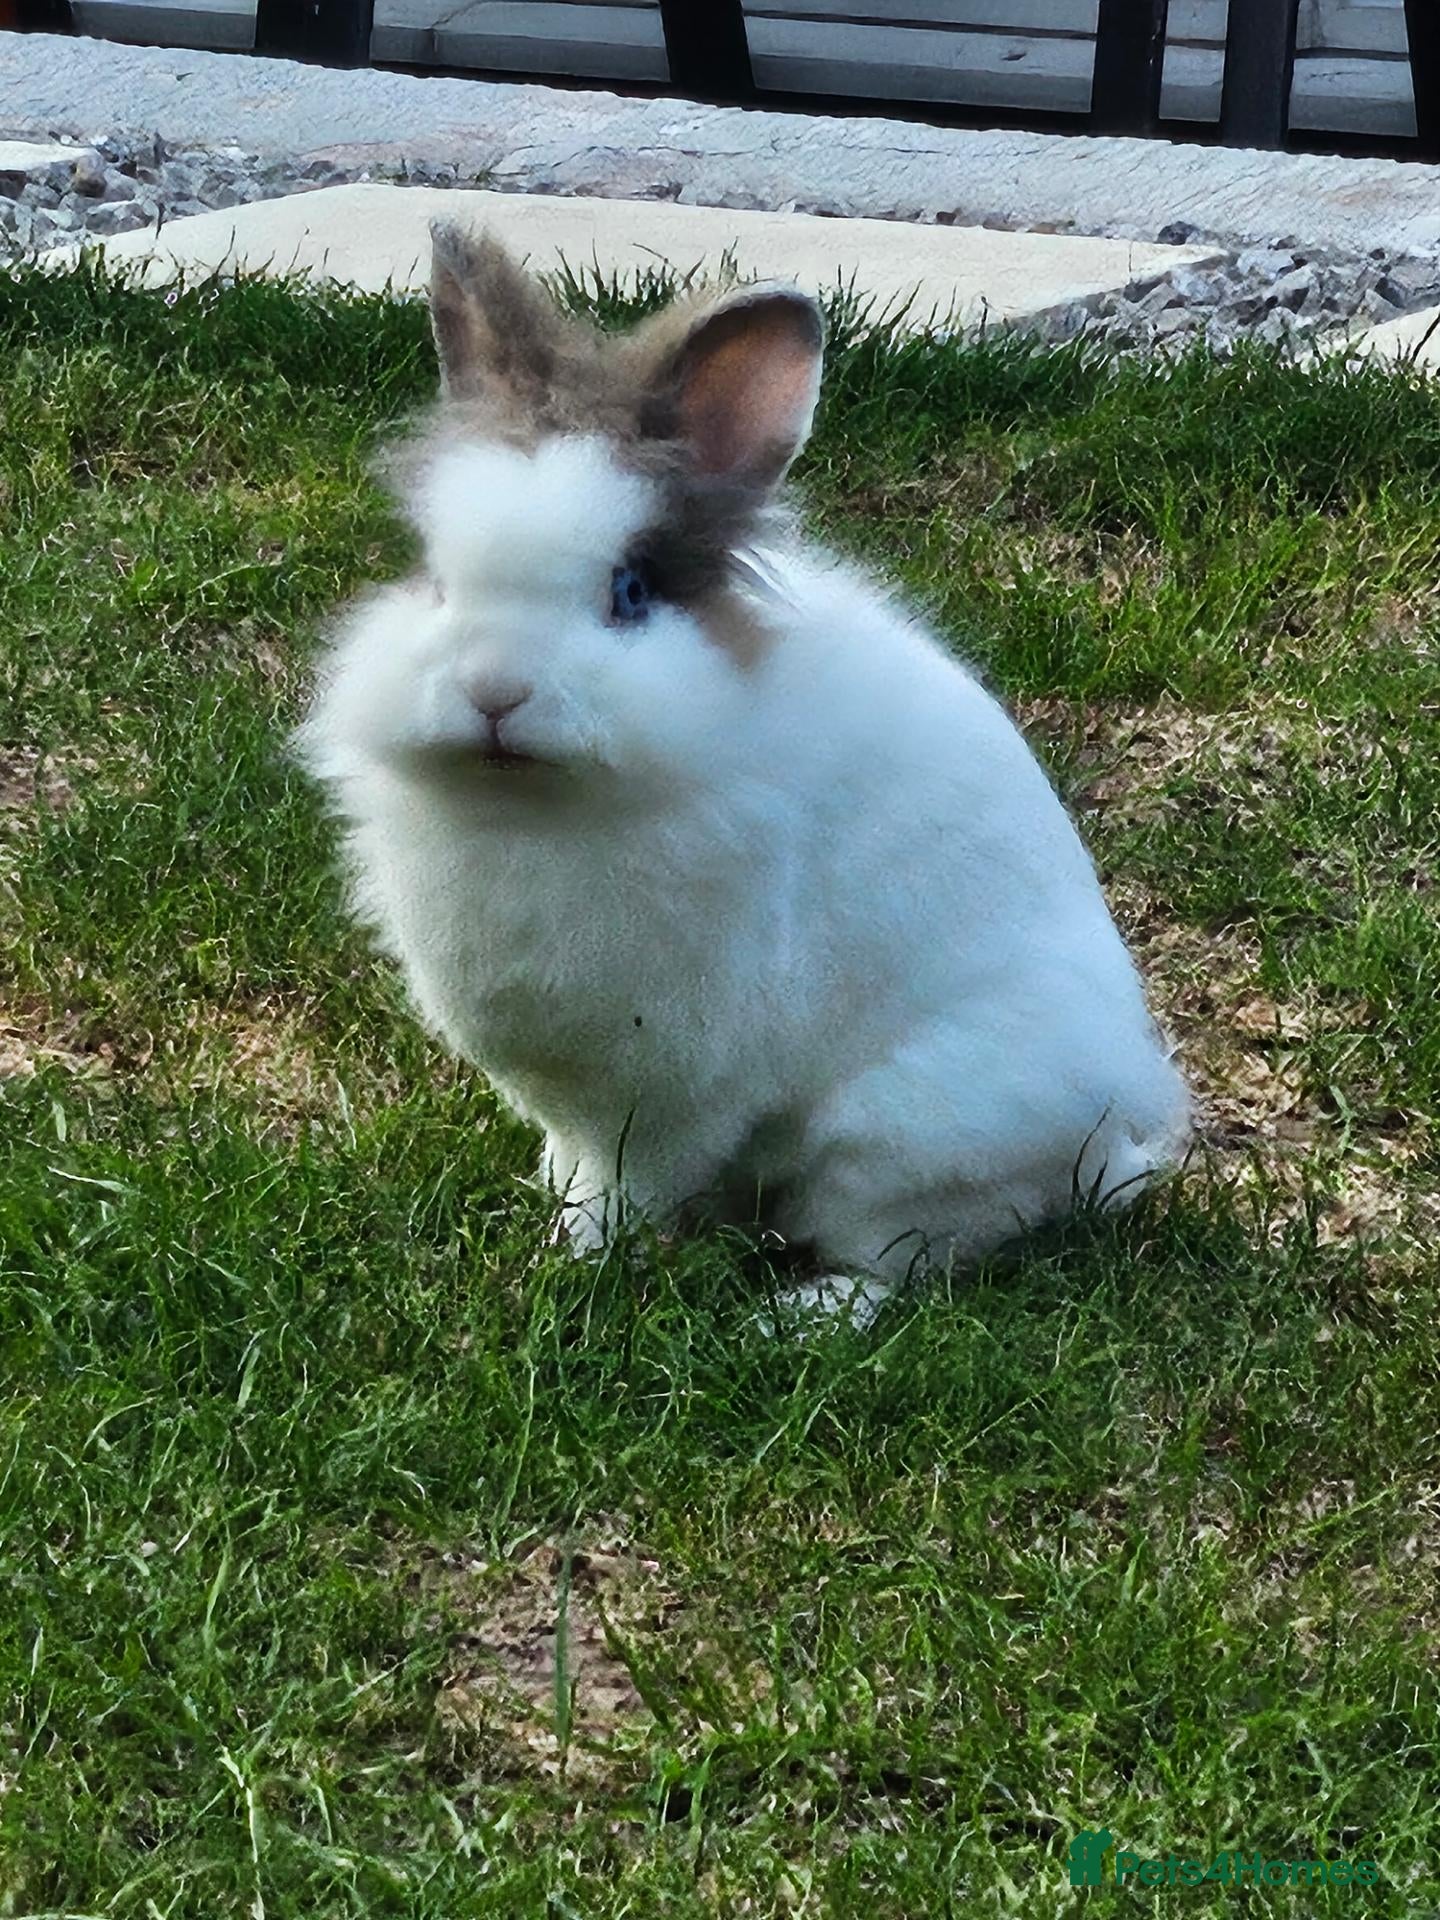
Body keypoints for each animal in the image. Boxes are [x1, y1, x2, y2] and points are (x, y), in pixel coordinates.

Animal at [295, 222, 1190, 1324]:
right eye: (434, 578)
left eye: (630, 592)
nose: (494, 690)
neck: (532, 808)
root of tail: (1109, 1146)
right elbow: (572, 1160)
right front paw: (546, 1213)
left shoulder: (670, 1093)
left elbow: (625, 1187)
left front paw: (575, 1261)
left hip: (894, 1146)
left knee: (900, 1267)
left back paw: (797, 1318)